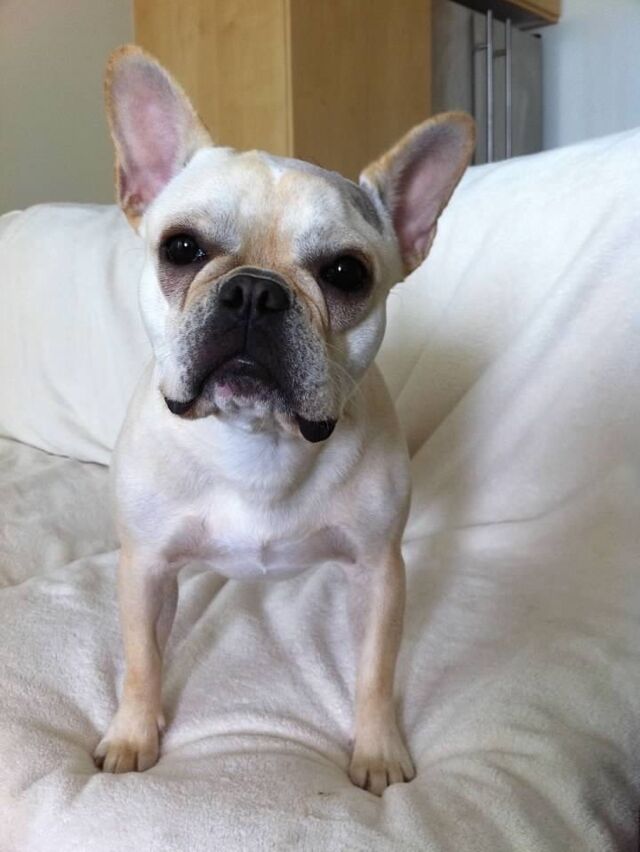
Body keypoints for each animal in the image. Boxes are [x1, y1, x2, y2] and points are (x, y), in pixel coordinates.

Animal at [93, 45, 474, 796]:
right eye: (181, 249)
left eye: (346, 273)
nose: (254, 291)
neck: (257, 438)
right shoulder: (144, 566)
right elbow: (142, 660)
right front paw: (132, 733)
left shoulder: (379, 571)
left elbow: (376, 672)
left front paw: (378, 750)